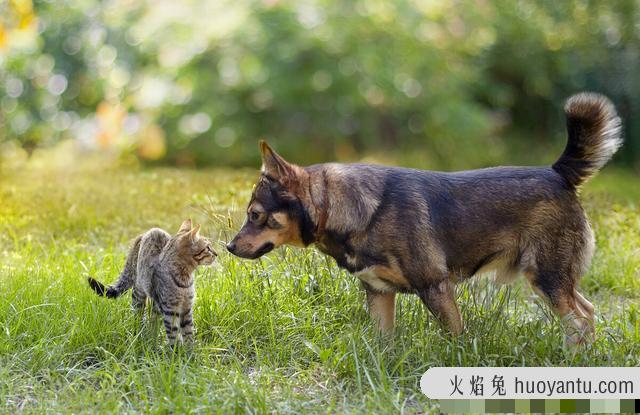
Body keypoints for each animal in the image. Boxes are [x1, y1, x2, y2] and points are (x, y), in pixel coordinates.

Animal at [87, 219, 218, 346]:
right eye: (208, 247)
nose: (217, 253)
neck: (185, 280)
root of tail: (144, 233)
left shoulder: (186, 309)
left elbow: (189, 334)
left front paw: (190, 351)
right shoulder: (170, 310)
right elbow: (174, 336)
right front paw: (177, 351)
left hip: (156, 303)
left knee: (153, 318)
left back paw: (153, 338)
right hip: (139, 294)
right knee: (139, 316)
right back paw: (140, 335)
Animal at [228, 92, 624, 346]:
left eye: (256, 215)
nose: (229, 247)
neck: (354, 210)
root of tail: (557, 173)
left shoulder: (435, 288)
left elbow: (455, 338)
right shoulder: (379, 294)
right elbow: (383, 344)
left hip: (547, 277)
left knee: (581, 318)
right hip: (553, 280)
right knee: (585, 313)